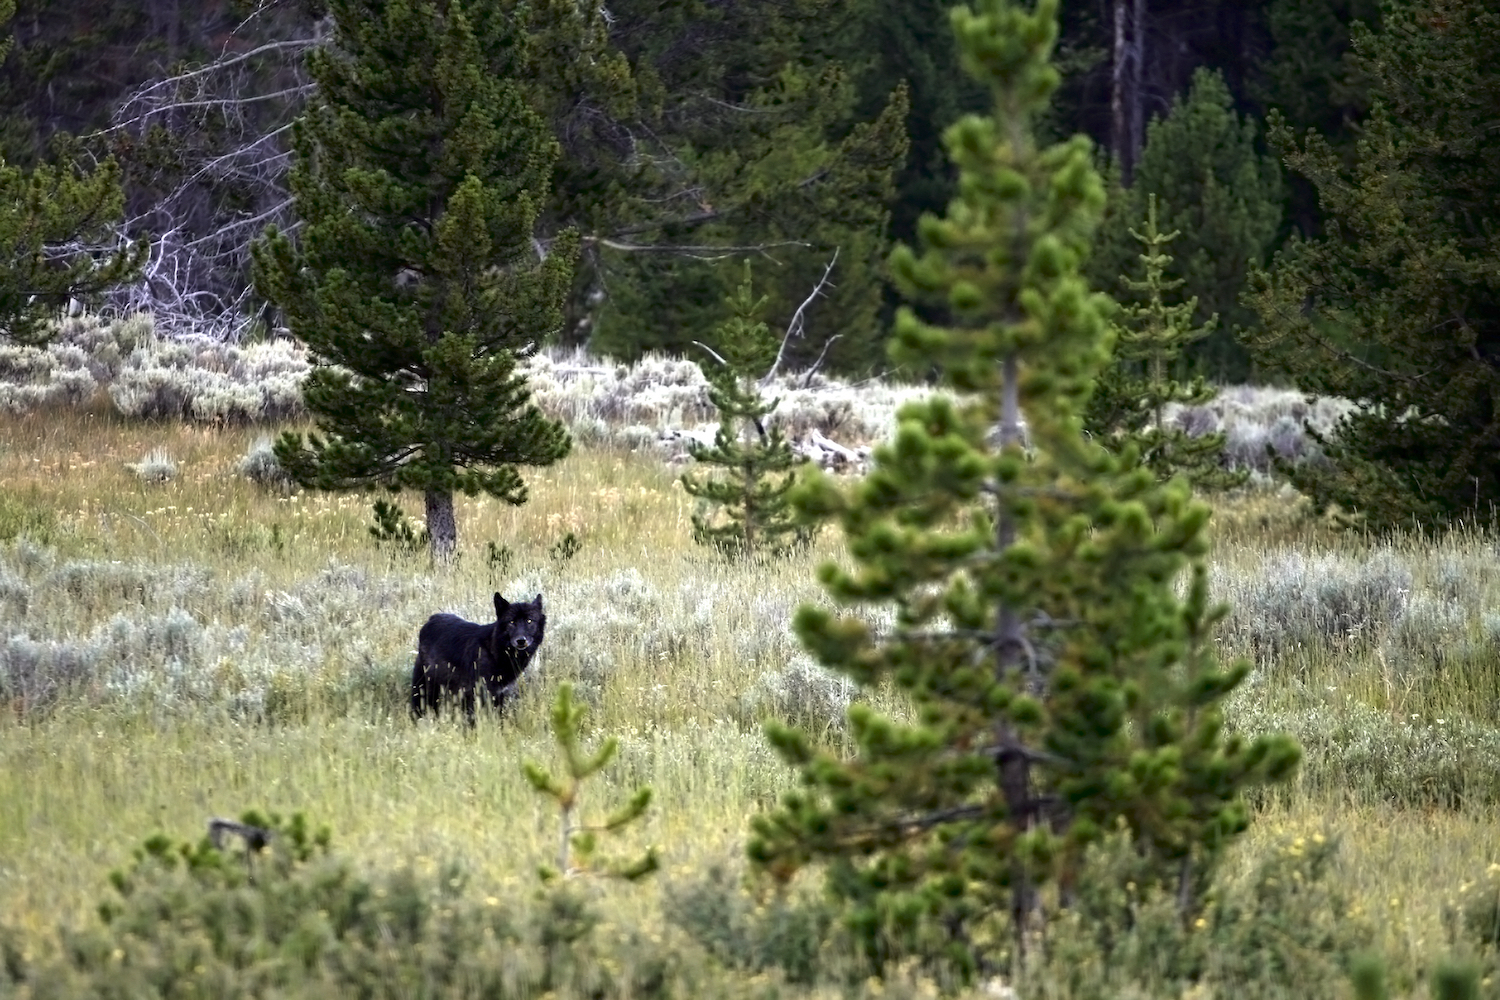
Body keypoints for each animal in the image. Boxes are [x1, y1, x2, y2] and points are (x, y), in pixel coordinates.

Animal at [410, 592, 546, 724]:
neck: (494, 651)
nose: (521, 641)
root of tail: (431, 618)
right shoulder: (477, 694)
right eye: (511, 622)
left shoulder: (499, 694)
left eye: (529, 621)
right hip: (430, 687)